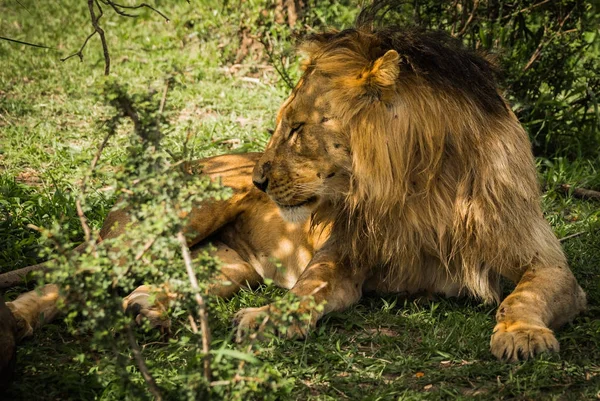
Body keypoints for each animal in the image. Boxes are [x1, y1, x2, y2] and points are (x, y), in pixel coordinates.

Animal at [3, 26, 584, 360]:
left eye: (298, 128)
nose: (259, 182)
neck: (420, 188)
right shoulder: (340, 256)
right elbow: (309, 289)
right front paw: (269, 318)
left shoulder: (548, 263)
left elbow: (523, 294)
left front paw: (522, 335)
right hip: (183, 215)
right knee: (71, 279)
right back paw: (15, 322)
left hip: (225, 267)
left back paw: (149, 308)